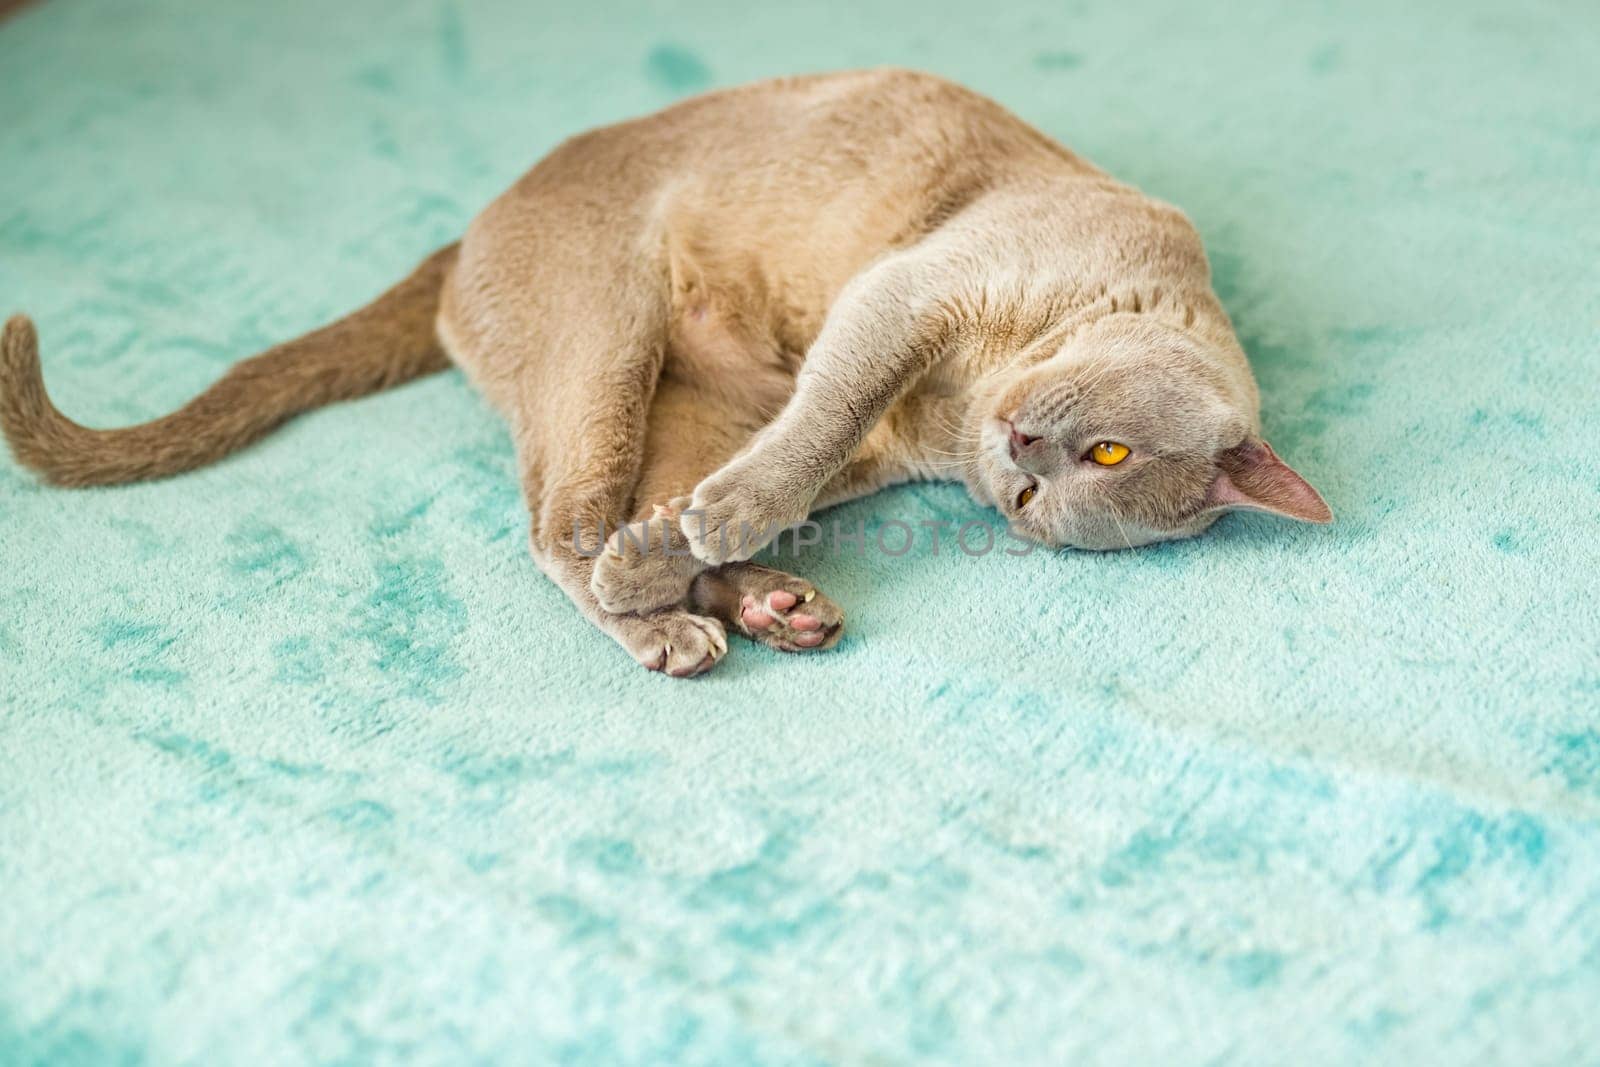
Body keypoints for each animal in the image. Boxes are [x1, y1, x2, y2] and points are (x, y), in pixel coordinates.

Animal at [0, 68, 1331, 675]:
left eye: (1045, 499)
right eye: (1101, 449)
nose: (1021, 456)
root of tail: (468, 232)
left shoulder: (868, 435)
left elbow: (779, 476)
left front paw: (698, 550)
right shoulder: (904, 299)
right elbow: (806, 439)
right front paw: (702, 542)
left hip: (697, 392)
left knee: (612, 512)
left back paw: (759, 604)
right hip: (607, 337)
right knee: (557, 525)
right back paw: (666, 625)